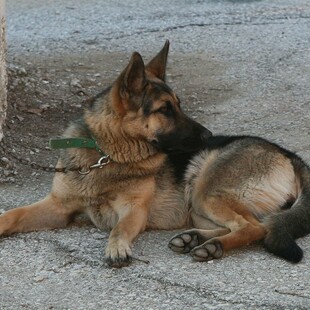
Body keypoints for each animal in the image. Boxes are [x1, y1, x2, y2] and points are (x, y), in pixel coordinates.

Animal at [0, 41, 211, 268]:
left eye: (178, 106)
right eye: (164, 109)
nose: (209, 135)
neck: (106, 156)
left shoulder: (134, 208)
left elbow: (119, 228)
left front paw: (117, 247)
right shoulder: (58, 206)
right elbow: (14, 213)